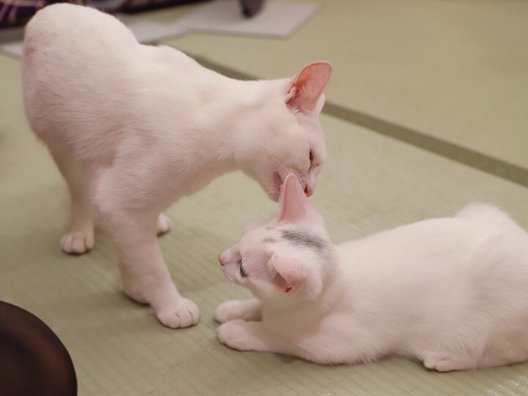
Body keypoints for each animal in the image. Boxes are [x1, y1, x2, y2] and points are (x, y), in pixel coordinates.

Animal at [23, 4, 334, 328]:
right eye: (311, 157)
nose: (310, 191)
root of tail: (49, 10)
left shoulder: (123, 202)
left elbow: (133, 252)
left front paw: (134, 288)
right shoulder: (118, 202)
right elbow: (152, 267)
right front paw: (167, 305)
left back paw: (155, 222)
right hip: (64, 148)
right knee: (80, 193)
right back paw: (79, 232)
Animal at [214, 175, 528, 370]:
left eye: (243, 269)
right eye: (243, 234)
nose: (220, 258)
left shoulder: (335, 347)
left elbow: (278, 338)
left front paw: (239, 331)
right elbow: (257, 306)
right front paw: (233, 309)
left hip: (497, 279)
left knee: (507, 354)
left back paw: (447, 359)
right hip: (480, 209)